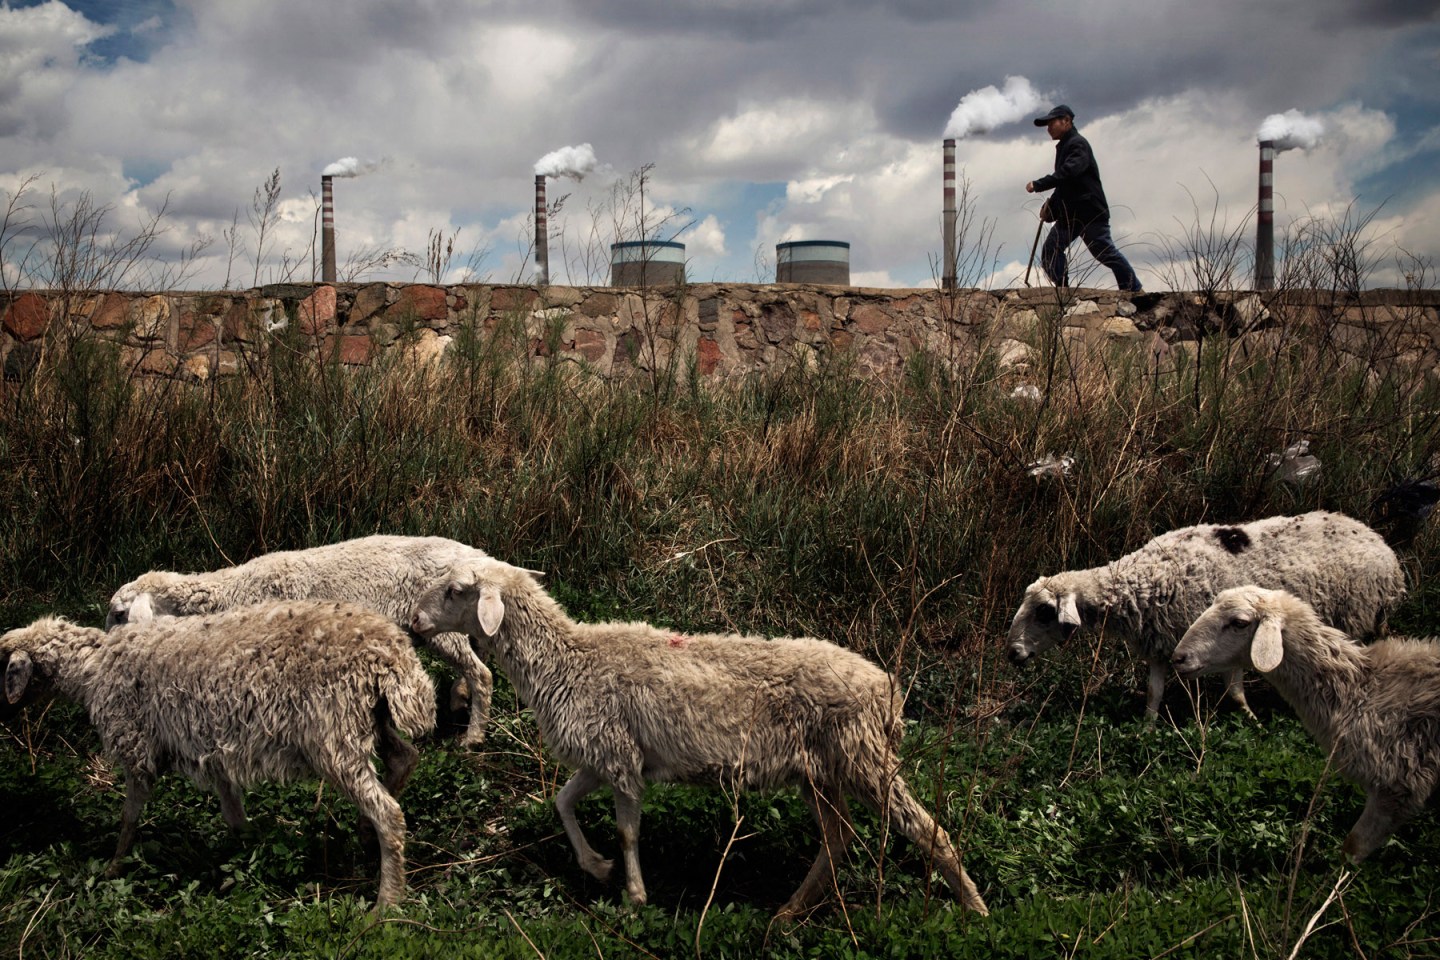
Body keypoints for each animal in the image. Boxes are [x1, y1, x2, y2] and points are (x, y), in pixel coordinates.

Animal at [0, 601, 436, 905]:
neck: (94, 669)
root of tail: (391, 652)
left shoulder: (137, 745)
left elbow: (129, 817)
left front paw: (112, 868)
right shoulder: (215, 752)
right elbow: (233, 813)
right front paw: (244, 853)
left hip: (333, 734)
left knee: (389, 813)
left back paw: (386, 904)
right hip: (370, 720)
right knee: (405, 758)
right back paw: (366, 836)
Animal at [105, 535, 494, 746]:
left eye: (119, 614)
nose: (110, 651)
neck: (233, 593)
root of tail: (480, 559)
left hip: (444, 627)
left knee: (483, 674)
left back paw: (473, 736)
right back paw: (459, 698)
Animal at [408, 556, 989, 919]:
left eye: (456, 591)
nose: (414, 621)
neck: (568, 660)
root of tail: (887, 689)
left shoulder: (619, 759)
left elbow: (628, 832)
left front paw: (635, 895)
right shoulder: (601, 755)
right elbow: (562, 801)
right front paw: (596, 866)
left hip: (862, 756)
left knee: (926, 829)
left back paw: (975, 910)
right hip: (820, 771)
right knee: (838, 835)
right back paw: (790, 911)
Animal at [1005, 511, 1405, 721]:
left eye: (1044, 612)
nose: (1012, 653)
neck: (1143, 580)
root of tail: (1375, 537)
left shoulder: (1225, 640)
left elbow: (1234, 691)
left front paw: (1252, 722)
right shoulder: (1161, 644)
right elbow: (1154, 693)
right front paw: (1147, 729)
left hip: (1358, 614)